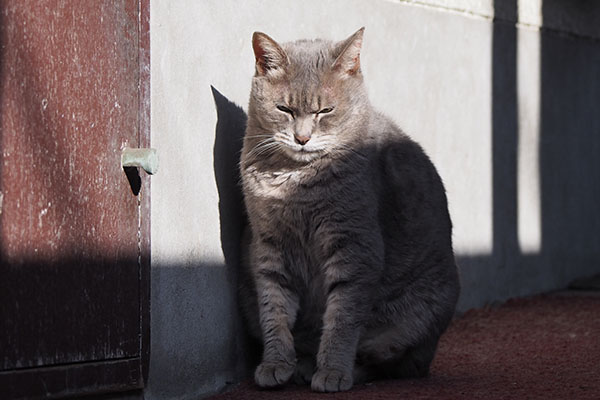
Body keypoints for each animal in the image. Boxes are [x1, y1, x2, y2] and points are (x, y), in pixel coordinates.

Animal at [239, 28, 460, 394]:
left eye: (325, 110)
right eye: (284, 108)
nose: (301, 138)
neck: (296, 181)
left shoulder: (355, 248)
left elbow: (341, 320)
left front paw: (332, 371)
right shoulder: (268, 245)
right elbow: (274, 309)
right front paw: (276, 363)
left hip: (410, 323)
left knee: (387, 364)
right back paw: (302, 365)